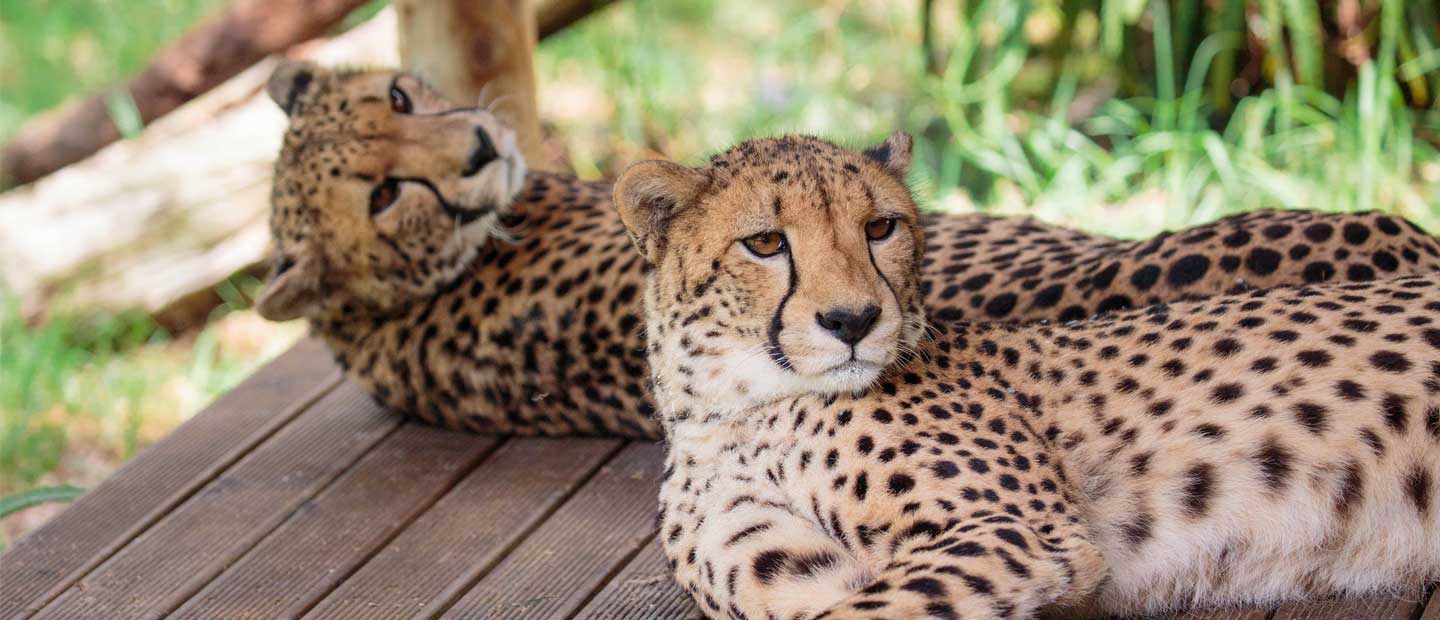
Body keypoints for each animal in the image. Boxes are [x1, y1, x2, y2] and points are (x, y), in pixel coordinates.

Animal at [618, 132, 1440, 620]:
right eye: (765, 243)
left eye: (880, 227)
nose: (853, 320)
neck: (734, 411)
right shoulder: (793, 573)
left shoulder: (1018, 532)